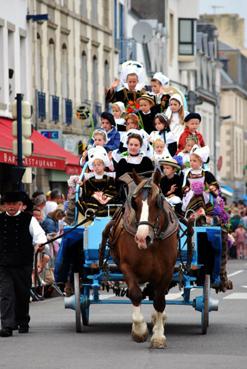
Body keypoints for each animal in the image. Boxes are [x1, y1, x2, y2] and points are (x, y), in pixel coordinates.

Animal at [99, 170, 178, 348]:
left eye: (157, 201)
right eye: (134, 203)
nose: (142, 238)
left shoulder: (167, 271)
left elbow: (160, 300)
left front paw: (158, 336)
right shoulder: (126, 267)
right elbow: (135, 294)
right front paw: (139, 330)